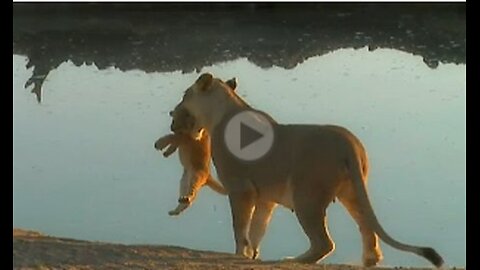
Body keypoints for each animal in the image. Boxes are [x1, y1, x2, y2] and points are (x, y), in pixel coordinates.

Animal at [171, 72, 444, 268]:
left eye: (185, 95)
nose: (172, 113)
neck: (222, 111)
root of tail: (348, 143)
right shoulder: (266, 197)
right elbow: (258, 227)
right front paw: (252, 254)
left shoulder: (241, 189)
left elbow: (240, 227)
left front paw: (240, 254)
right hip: (351, 193)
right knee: (367, 228)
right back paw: (368, 260)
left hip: (306, 197)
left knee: (324, 243)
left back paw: (292, 260)